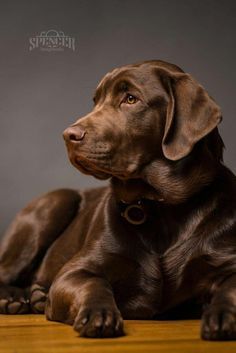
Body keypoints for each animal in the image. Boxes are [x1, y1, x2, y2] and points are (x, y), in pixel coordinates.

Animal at [0, 60, 236, 338]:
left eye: (131, 99)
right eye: (95, 101)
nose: (68, 135)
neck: (160, 208)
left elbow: (229, 289)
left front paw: (222, 316)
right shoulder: (74, 271)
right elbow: (94, 284)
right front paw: (98, 312)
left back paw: (37, 296)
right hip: (55, 203)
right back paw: (15, 298)